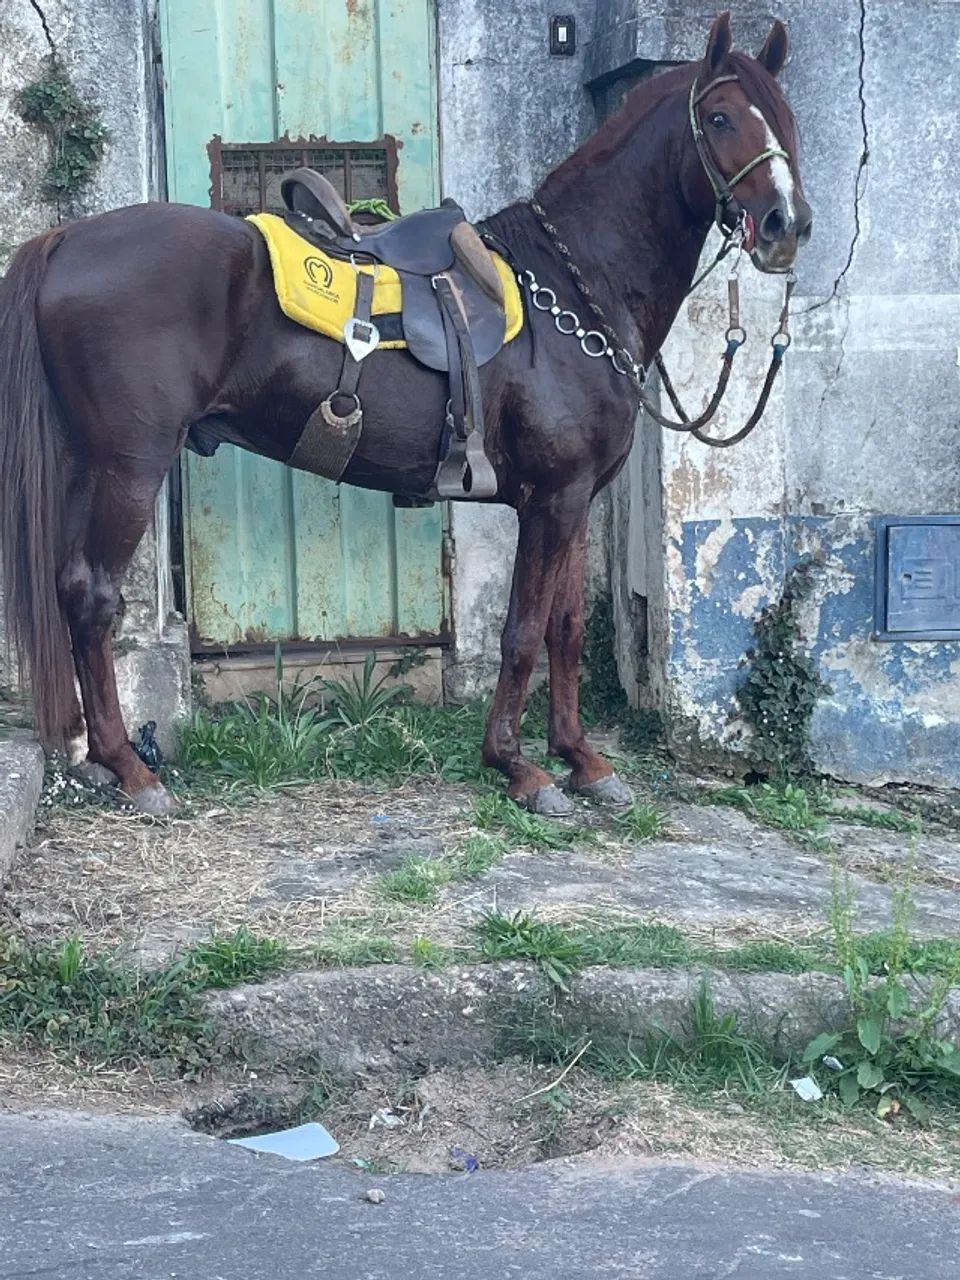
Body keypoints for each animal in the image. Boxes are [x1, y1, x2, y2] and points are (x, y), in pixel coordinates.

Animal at [0, 12, 811, 818]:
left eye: (786, 117)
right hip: (130, 467)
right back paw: (131, 770)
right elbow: (522, 633)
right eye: (719, 117)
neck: (570, 290)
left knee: (70, 590)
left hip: (87, 465)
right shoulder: (550, 500)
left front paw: (582, 759)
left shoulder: (576, 499)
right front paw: (518, 766)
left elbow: (567, 629)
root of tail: (64, 239)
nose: (786, 224)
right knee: (93, 598)